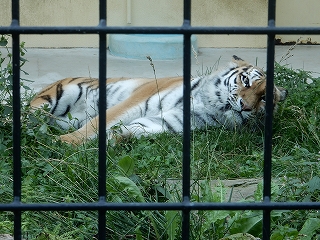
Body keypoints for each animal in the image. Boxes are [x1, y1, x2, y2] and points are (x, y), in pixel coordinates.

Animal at [30, 55, 288, 144]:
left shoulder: (169, 121)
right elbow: (96, 125)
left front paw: (115, 140)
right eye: (245, 81)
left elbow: (134, 128)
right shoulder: (135, 101)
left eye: (264, 99)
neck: (211, 105)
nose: (245, 107)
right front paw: (64, 143)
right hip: (58, 95)